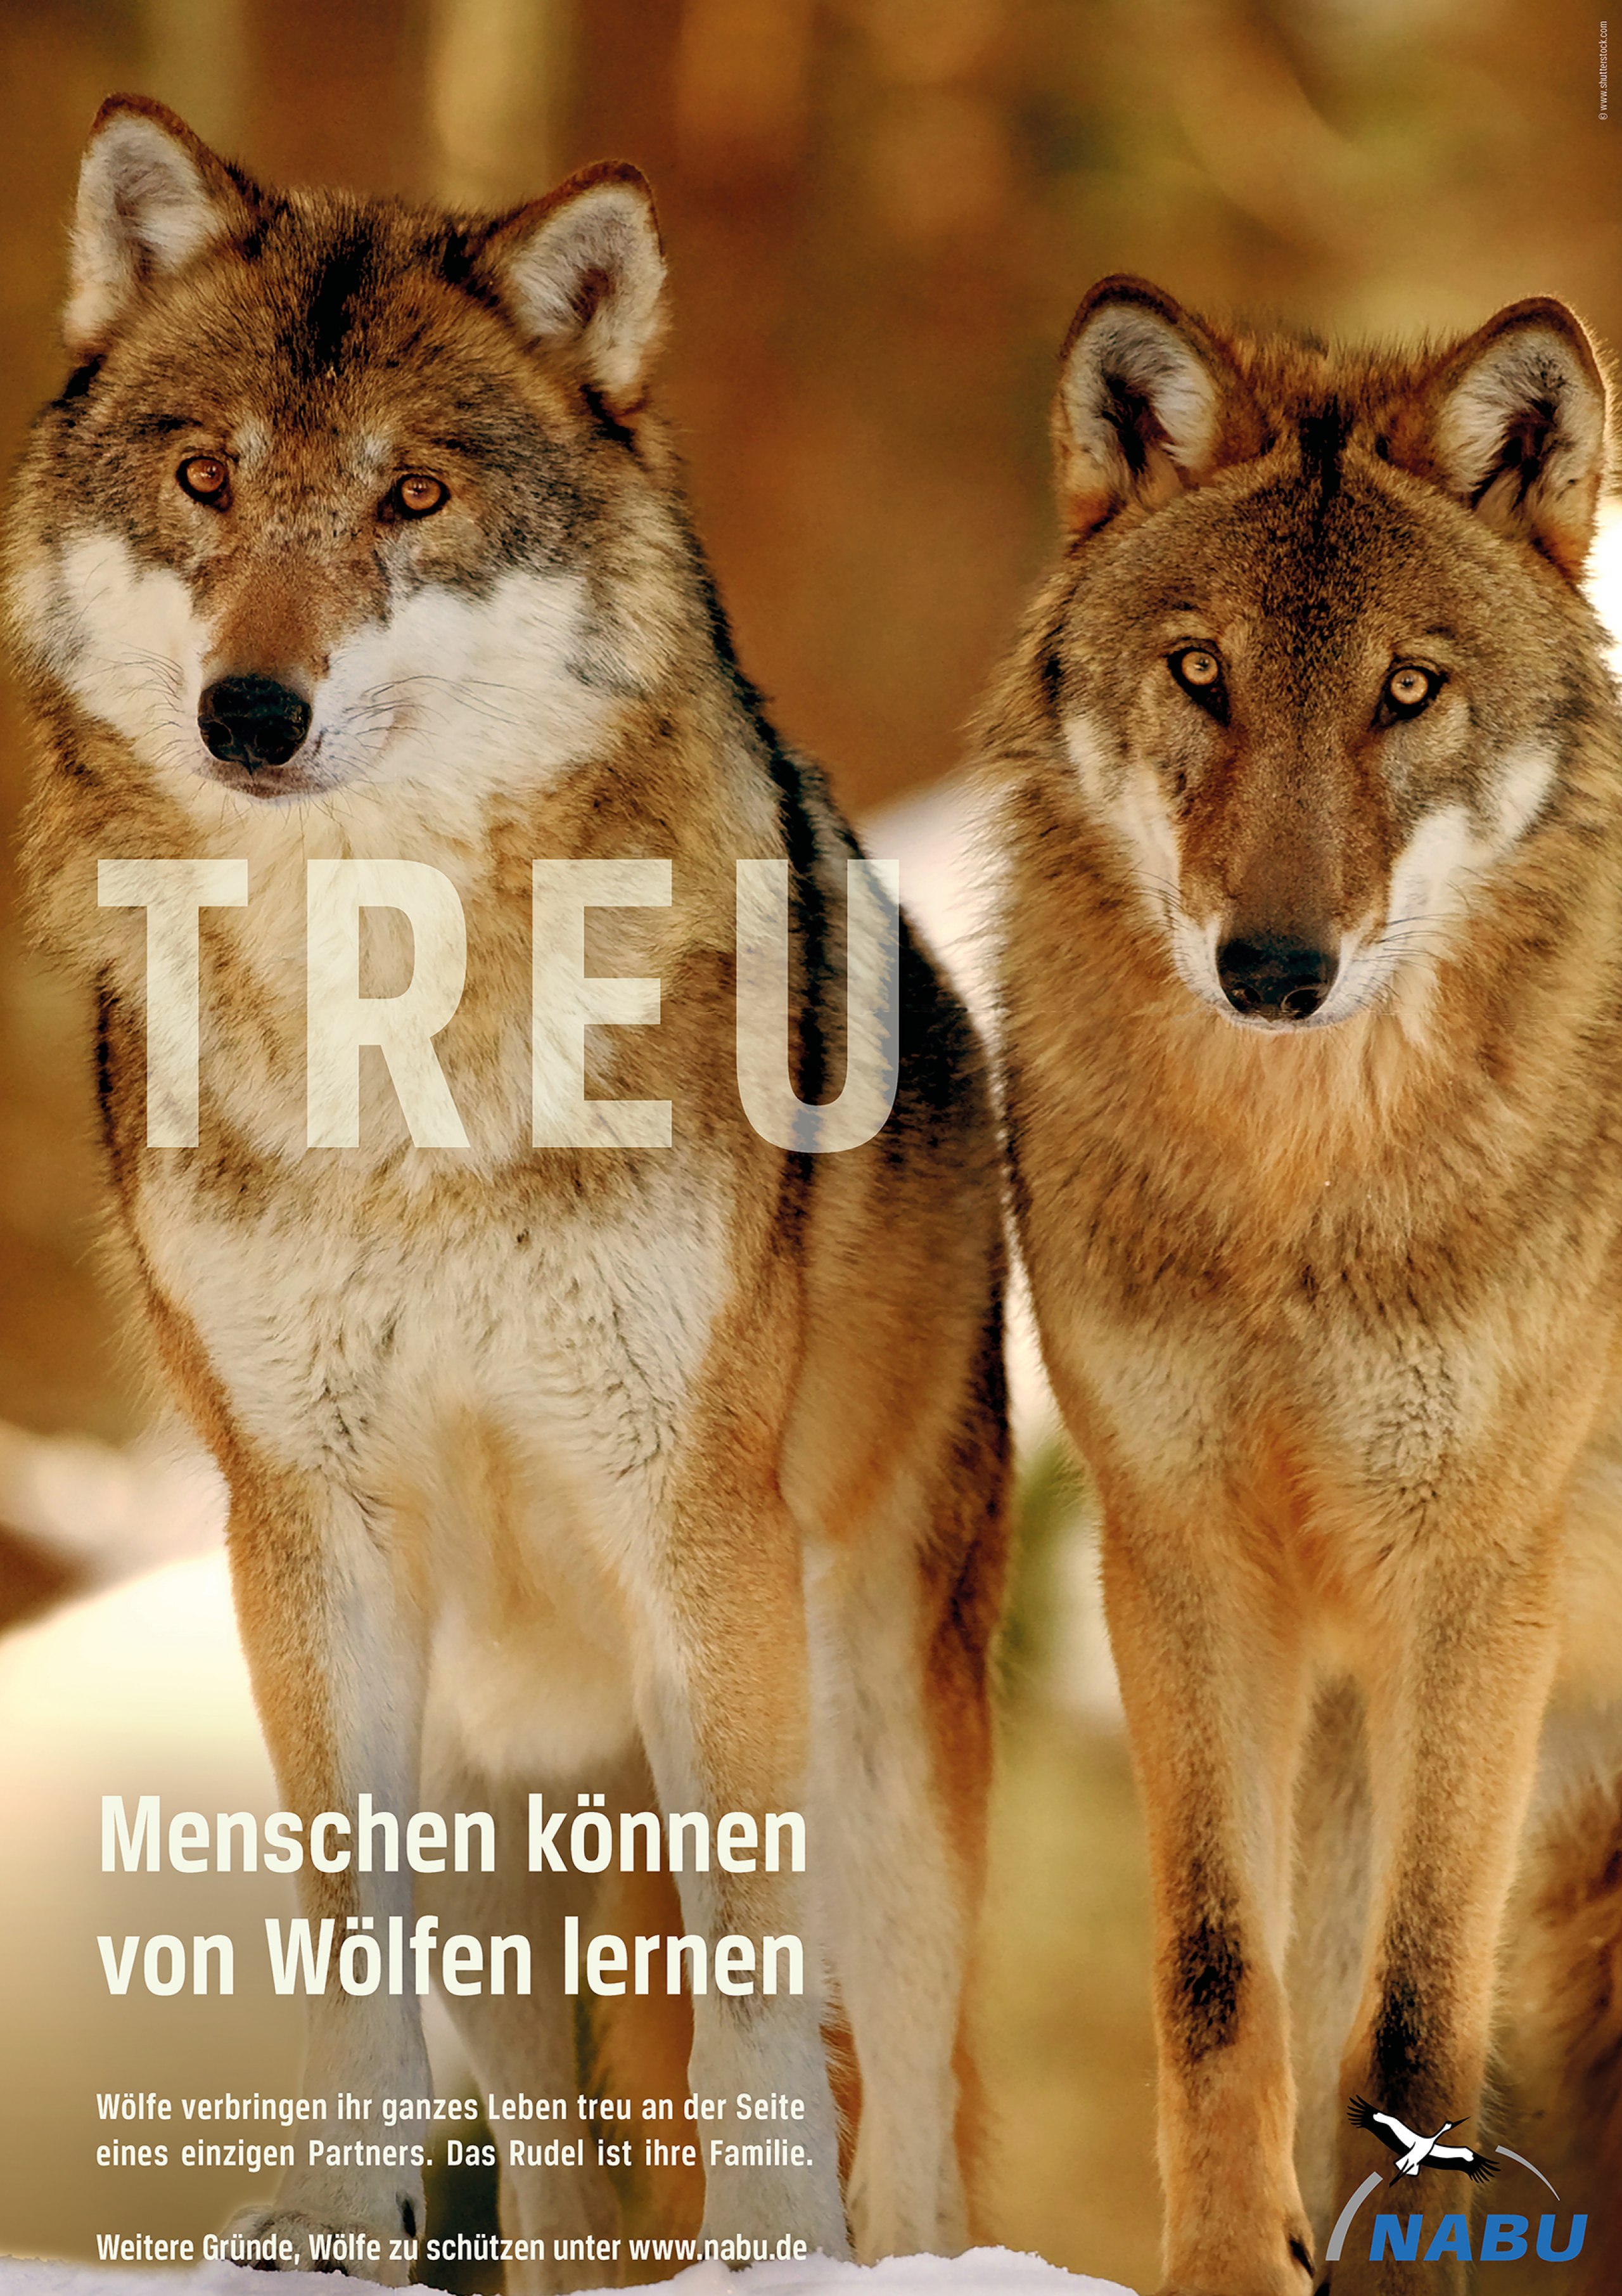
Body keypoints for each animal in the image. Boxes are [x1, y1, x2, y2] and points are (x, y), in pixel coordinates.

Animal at [7, 97, 1009, 2284]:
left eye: (415, 492)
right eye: (207, 477)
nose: (251, 712)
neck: (392, 1020)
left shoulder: (696, 1514)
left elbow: (754, 1979)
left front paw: (772, 2244)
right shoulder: (302, 1527)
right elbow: (339, 1943)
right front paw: (328, 2213)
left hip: (874, 1723)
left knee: (907, 2093)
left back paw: (880, 2239)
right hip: (499, 1805)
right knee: (553, 2165)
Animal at [983, 275, 1622, 2294]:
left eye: (1406, 690)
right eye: (1204, 673)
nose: (1273, 964)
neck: (1295, 1193)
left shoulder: (1477, 1579)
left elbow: (1413, 2028)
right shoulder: (1179, 1555)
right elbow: (1220, 1979)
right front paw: (1224, 2264)